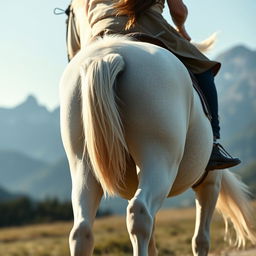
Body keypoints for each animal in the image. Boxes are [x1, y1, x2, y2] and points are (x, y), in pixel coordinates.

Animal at [59, 1, 255, 255]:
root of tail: (109, 56)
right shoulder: (210, 182)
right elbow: (201, 239)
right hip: (161, 161)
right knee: (139, 214)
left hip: (83, 167)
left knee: (82, 230)